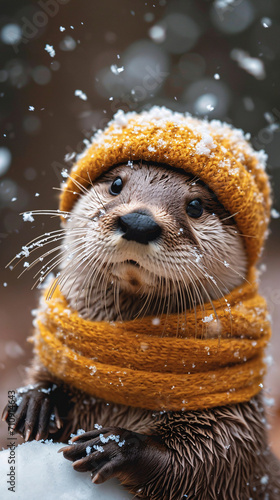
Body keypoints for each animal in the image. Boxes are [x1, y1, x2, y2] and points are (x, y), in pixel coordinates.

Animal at [2, 157, 280, 496]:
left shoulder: (236, 420)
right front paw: (35, 401)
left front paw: (113, 445)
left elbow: (211, 462)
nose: (138, 222)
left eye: (196, 206)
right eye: (116, 184)